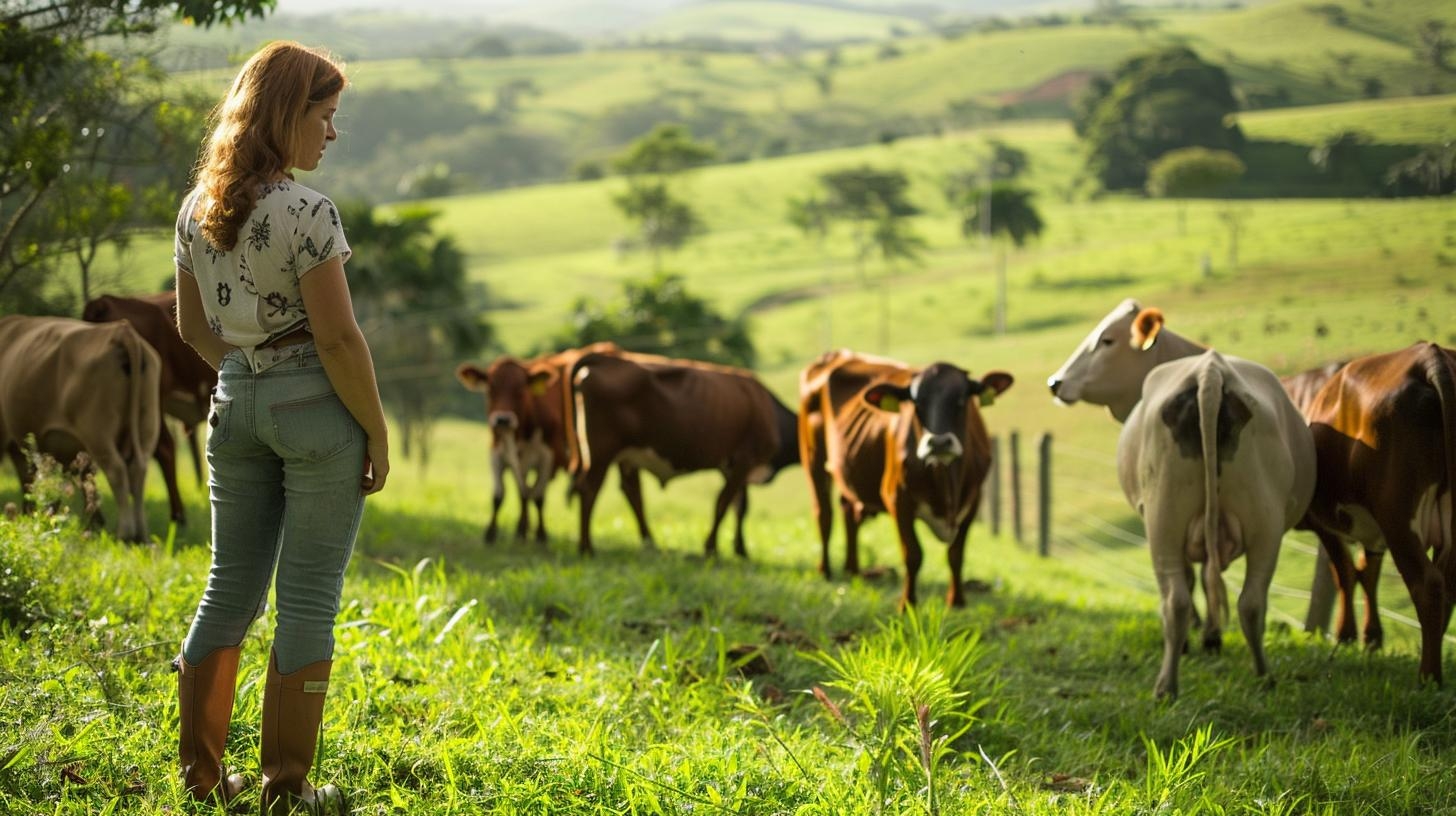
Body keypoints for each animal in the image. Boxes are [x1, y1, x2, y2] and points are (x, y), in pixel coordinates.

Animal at [0, 317, 160, 542]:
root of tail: (121, 330)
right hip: (147, 425)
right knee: (137, 470)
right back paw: (141, 534)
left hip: (97, 431)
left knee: (117, 471)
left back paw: (124, 532)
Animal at [797, 346, 1013, 609]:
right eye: (916, 404)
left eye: (962, 400)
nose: (938, 442)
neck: (946, 480)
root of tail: (837, 353)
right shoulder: (898, 498)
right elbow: (913, 554)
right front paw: (907, 602)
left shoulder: (973, 501)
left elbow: (956, 554)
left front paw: (957, 601)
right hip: (813, 459)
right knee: (824, 515)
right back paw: (825, 572)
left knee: (849, 512)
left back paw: (853, 570)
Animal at [1048, 303, 1322, 699]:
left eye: (1107, 340)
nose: (1055, 382)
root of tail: (1210, 371)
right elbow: (1209, 577)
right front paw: (1210, 636)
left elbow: (1200, 578)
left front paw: (1204, 637)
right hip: (1261, 524)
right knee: (1249, 601)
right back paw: (1260, 675)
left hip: (1165, 519)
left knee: (1179, 599)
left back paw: (1171, 682)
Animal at [1298, 340, 1456, 684]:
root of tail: (1431, 356)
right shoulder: (1373, 533)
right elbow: (1367, 573)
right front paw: (1371, 638)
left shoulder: (1324, 522)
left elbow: (1344, 572)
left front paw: (1345, 635)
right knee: (1449, 588)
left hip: (1398, 516)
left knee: (1429, 586)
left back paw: (1428, 678)